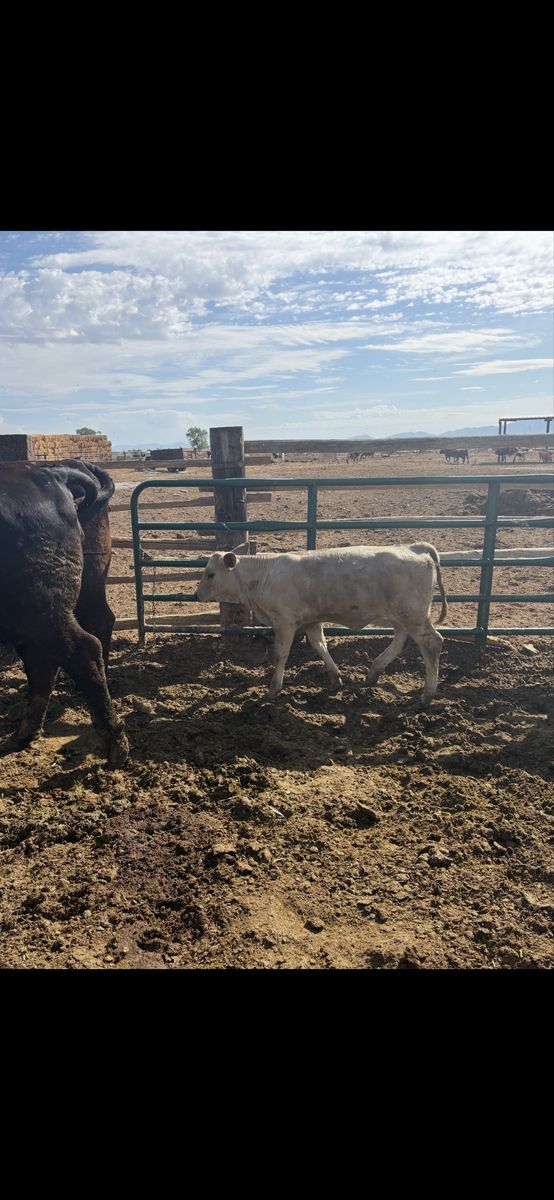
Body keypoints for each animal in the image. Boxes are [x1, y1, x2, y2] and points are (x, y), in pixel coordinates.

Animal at [195, 542, 448, 706]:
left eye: (210, 574)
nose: (197, 594)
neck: (264, 575)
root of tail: (414, 548)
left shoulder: (284, 621)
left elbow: (280, 654)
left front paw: (273, 688)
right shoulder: (312, 621)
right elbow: (320, 646)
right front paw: (336, 679)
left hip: (413, 615)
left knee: (432, 643)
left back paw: (427, 694)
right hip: (403, 616)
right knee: (400, 639)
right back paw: (374, 671)